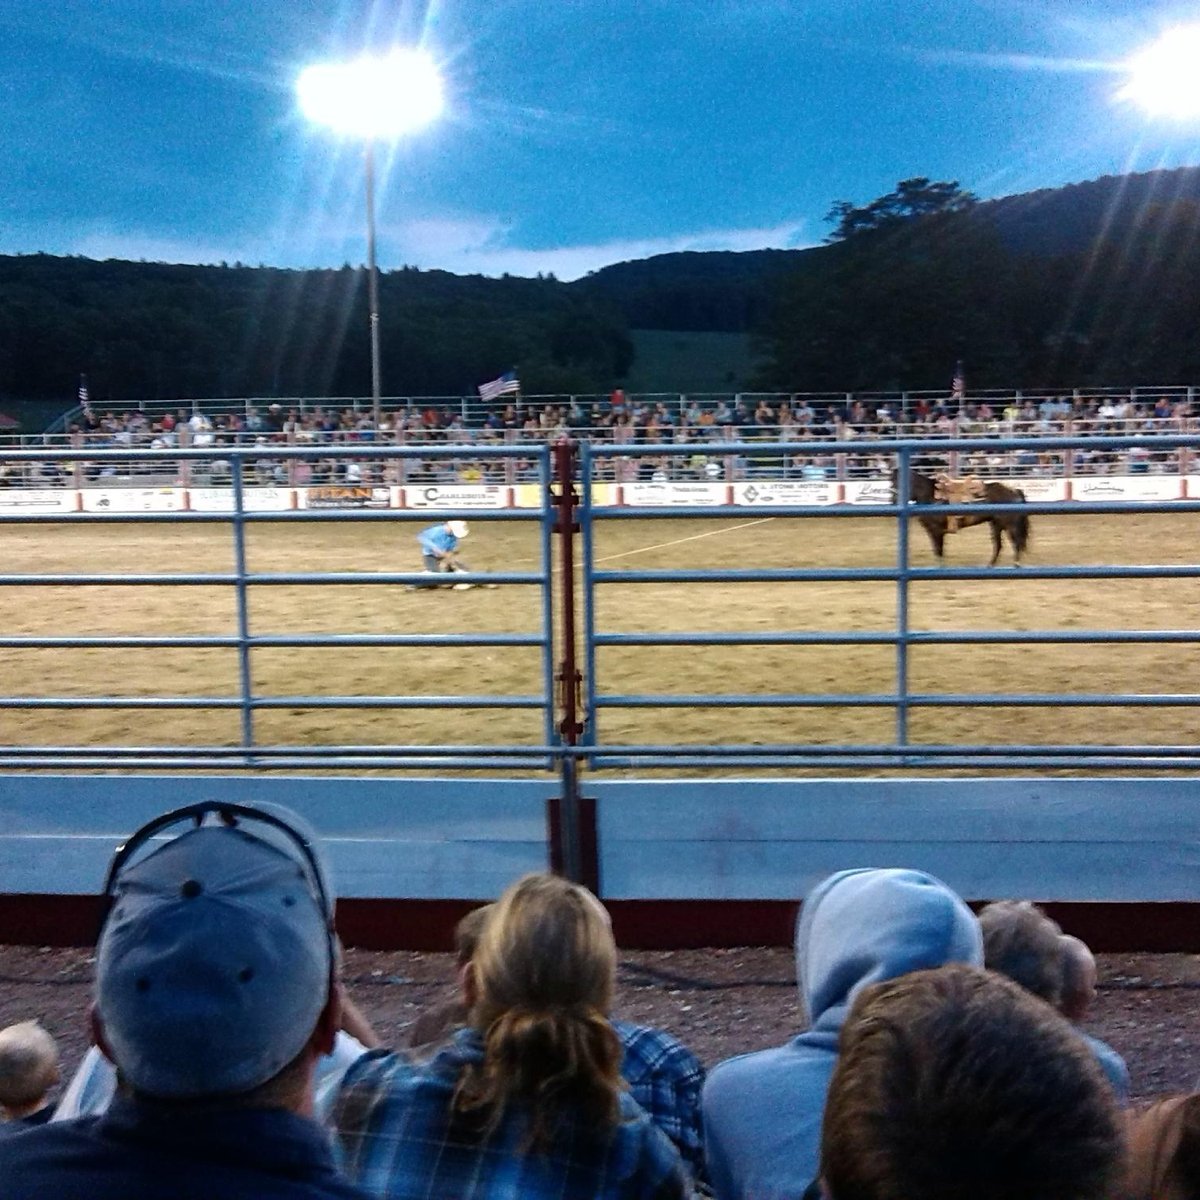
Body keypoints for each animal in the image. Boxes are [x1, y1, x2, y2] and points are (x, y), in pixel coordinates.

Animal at [902, 463, 1032, 566]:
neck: (930, 496)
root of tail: (1014, 490)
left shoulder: (936, 530)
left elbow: (939, 550)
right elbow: (937, 550)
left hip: (1010, 525)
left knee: (1016, 542)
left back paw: (1016, 564)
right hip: (996, 524)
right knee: (999, 545)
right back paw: (990, 565)